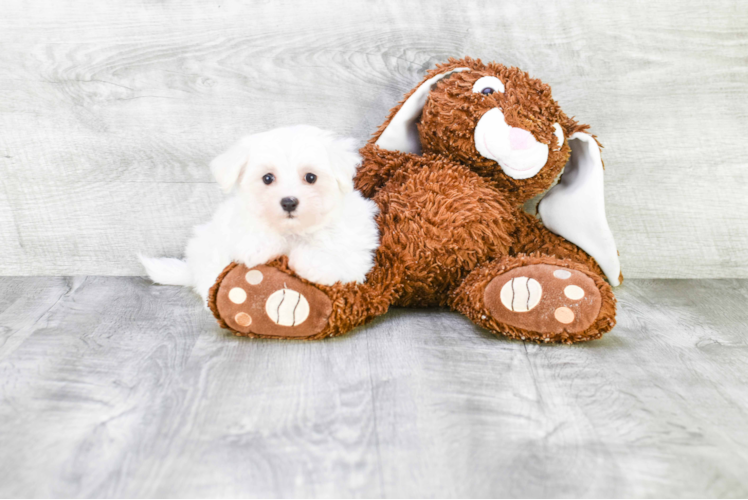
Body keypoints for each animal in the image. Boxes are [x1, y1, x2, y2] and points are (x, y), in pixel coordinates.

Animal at [142, 127, 380, 302]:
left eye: (311, 177)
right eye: (267, 178)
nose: (289, 202)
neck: (293, 231)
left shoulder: (357, 251)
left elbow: (339, 257)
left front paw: (313, 264)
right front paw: (259, 247)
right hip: (206, 248)